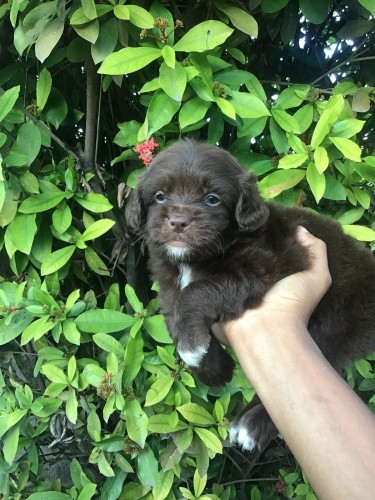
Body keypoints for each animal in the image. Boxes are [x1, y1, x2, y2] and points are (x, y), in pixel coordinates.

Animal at [125, 139, 375, 452]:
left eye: (212, 199)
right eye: (160, 196)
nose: (179, 221)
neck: (194, 259)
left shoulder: (263, 268)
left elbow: (196, 293)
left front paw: (193, 347)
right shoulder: (169, 283)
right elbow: (174, 312)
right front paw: (213, 367)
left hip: (336, 322)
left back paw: (252, 427)